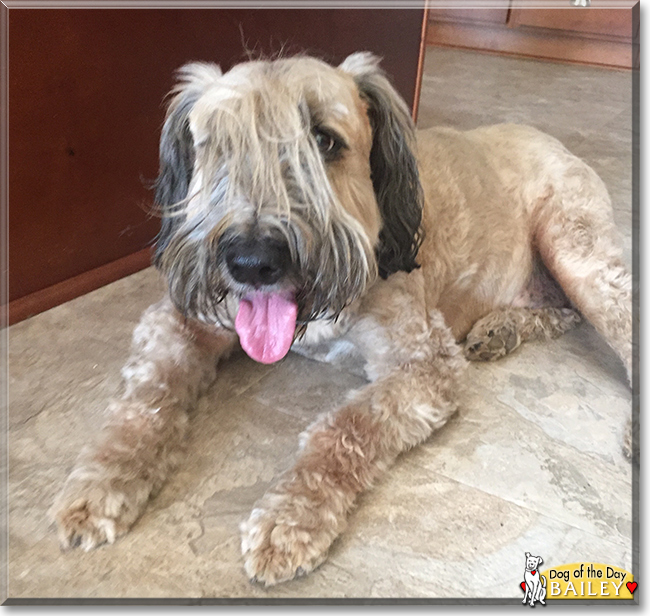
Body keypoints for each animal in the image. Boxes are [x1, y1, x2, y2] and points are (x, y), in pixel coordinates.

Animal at [49, 54, 628, 588]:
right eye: (220, 144)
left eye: (325, 141)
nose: (252, 261)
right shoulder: (185, 320)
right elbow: (147, 399)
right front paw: (102, 481)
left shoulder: (421, 363)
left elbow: (344, 427)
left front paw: (290, 516)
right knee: (559, 312)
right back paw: (499, 329)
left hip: (575, 251)